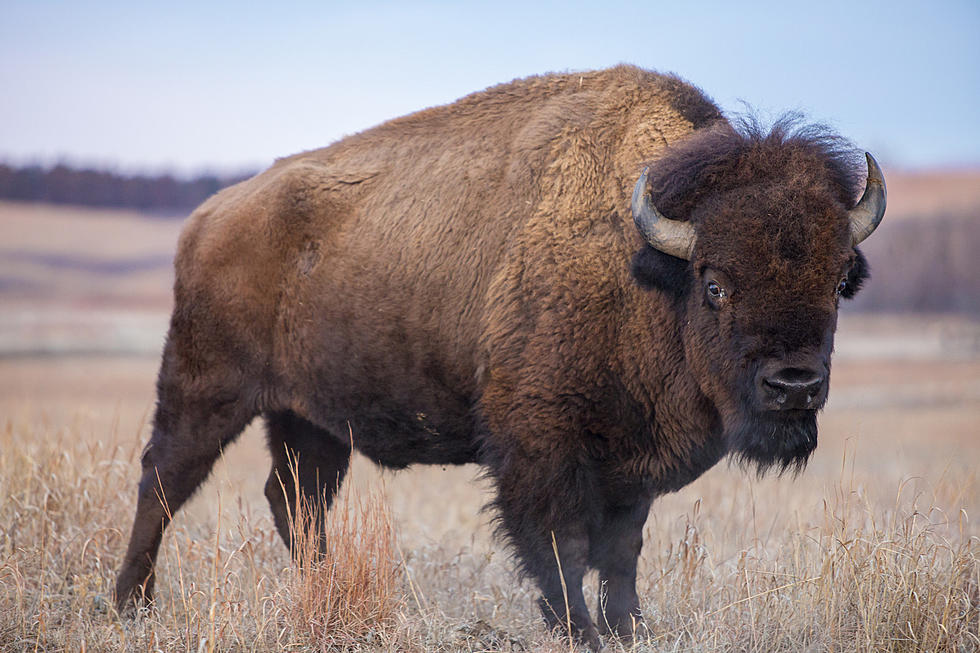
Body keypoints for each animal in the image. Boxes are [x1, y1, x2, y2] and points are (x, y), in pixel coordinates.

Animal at [117, 63, 888, 644]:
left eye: (836, 281)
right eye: (716, 282)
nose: (794, 385)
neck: (643, 266)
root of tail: (209, 217)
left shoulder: (629, 463)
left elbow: (622, 551)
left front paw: (629, 628)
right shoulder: (540, 445)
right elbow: (561, 545)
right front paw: (577, 630)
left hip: (308, 418)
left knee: (296, 499)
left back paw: (320, 590)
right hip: (206, 386)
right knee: (165, 479)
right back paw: (131, 604)